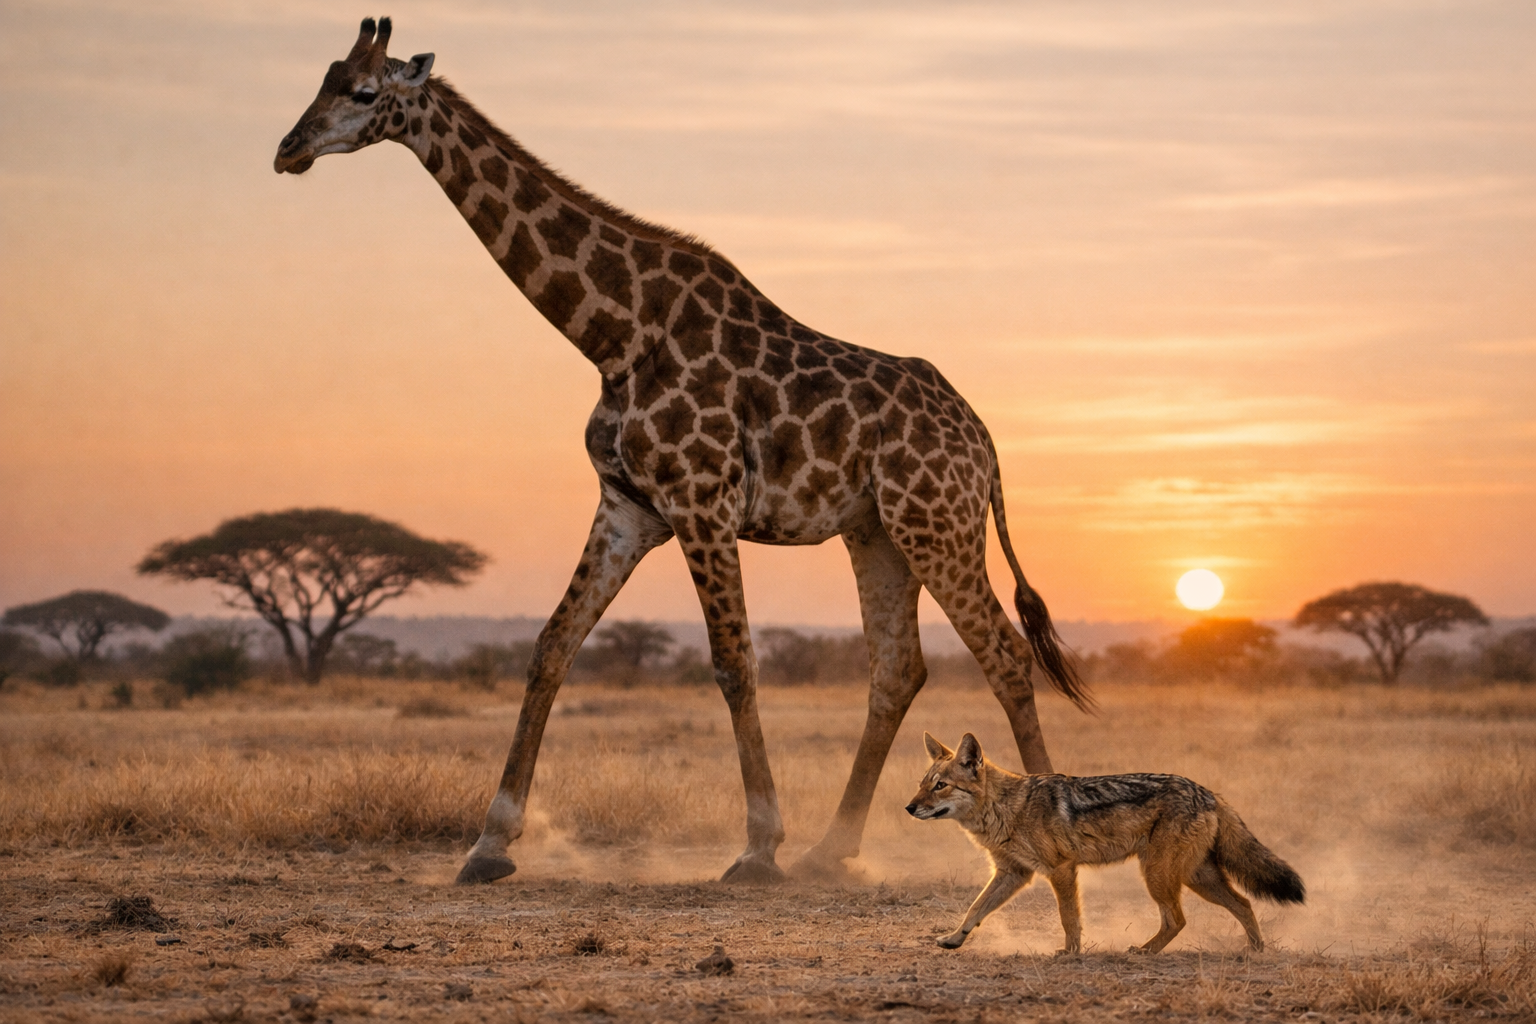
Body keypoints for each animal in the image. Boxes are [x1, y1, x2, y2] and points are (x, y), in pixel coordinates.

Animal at [275, 18, 1090, 886]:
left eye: (364, 92)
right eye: (323, 78)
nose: (288, 149)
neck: (614, 335)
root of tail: (984, 440)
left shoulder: (703, 503)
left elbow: (734, 662)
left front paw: (758, 846)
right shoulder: (628, 506)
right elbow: (551, 647)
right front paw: (489, 843)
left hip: (939, 522)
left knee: (1004, 655)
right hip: (879, 532)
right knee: (898, 669)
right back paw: (831, 849)